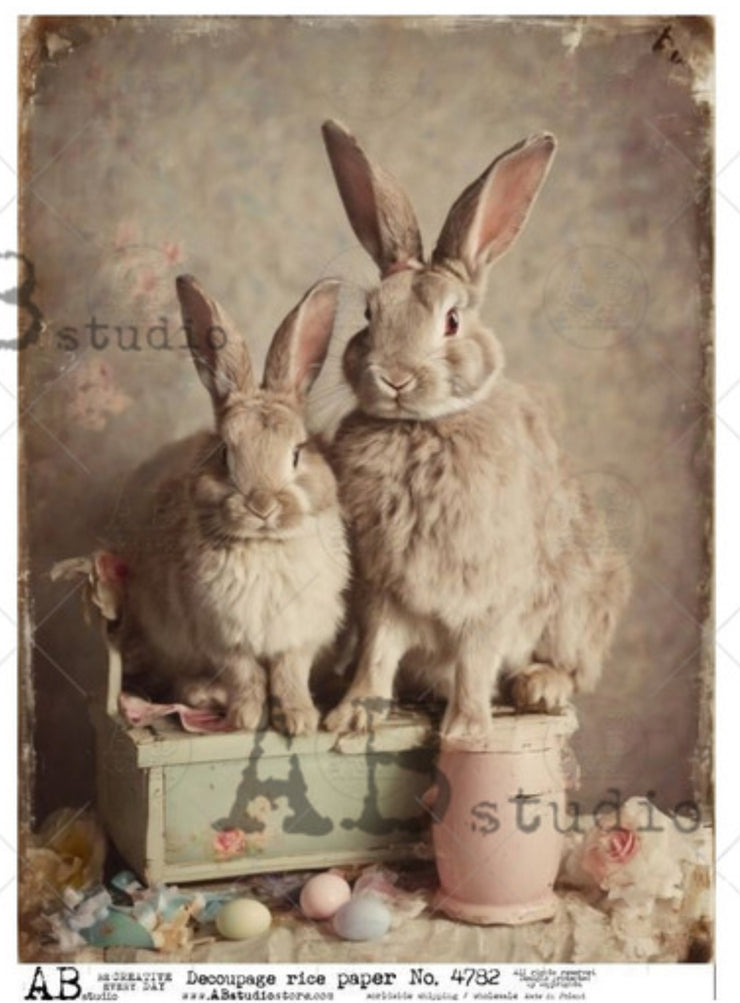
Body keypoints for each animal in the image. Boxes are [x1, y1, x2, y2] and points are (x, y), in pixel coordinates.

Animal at [111, 274, 350, 735]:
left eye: (298, 452)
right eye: (224, 453)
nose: (262, 505)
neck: (264, 545)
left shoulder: (300, 635)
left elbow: (290, 673)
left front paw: (299, 720)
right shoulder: (223, 638)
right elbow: (246, 675)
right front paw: (246, 719)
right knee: (183, 680)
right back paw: (208, 697)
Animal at [319, 120, 631, 741]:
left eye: (452, 320)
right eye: (369, 315)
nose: (395, 377)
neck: (421, 427)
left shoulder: (488, 595)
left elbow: (474, 659)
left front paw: (467, 732)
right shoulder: (383, 593)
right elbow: (377, 654)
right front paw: (351, 717)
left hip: (579, 603)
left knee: (570, 667)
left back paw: (539, 687)